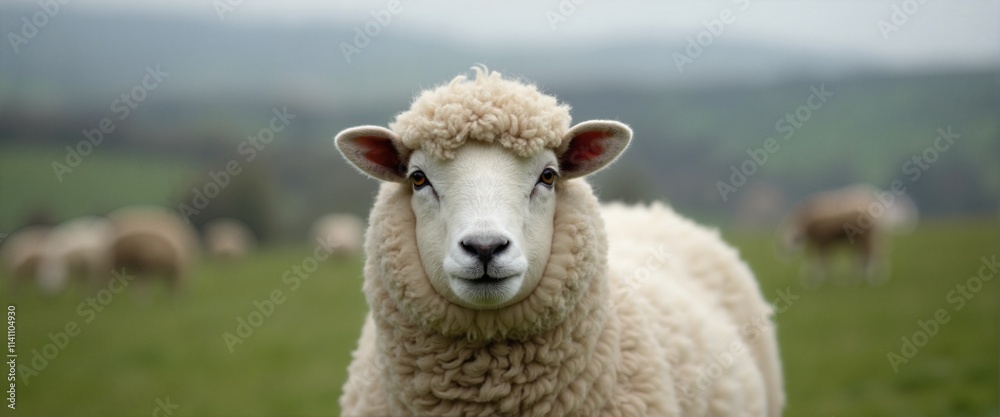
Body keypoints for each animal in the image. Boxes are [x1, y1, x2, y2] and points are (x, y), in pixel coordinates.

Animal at [780, 183, 917, 286]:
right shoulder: (828, 240)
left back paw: (872, 277)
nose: (787, 253)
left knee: (872, 252)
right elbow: (828, 259)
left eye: (793, 239)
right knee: (872, 253)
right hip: (870, 235)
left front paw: (812, 278)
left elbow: (820, 259)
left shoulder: (823, 239)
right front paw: (827, 277)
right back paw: (866, 275)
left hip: (867, 235)